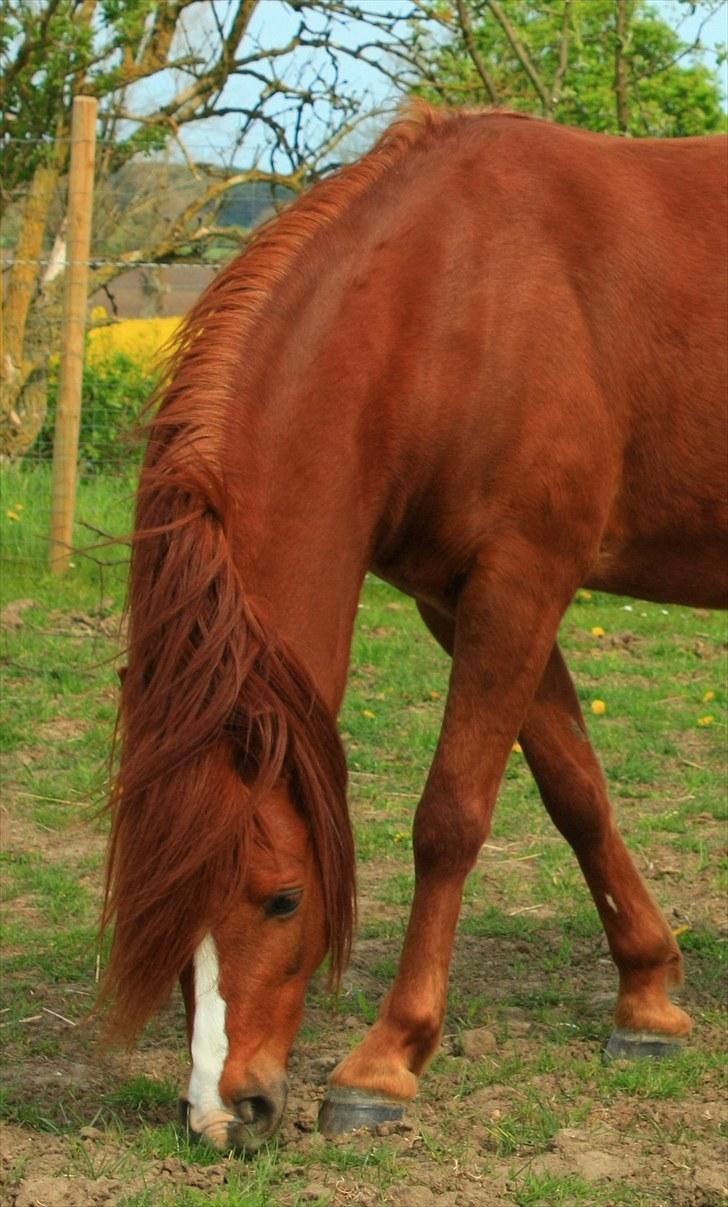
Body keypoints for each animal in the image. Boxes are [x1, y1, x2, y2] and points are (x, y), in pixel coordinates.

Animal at [103, 106, 728, 1149]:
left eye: (284, 898)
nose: (223, 1116)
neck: (446, 304)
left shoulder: (521, 581)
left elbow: (451, 817)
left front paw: (386, 1059)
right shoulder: (460, 599)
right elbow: (576, 791)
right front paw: (647, 998)